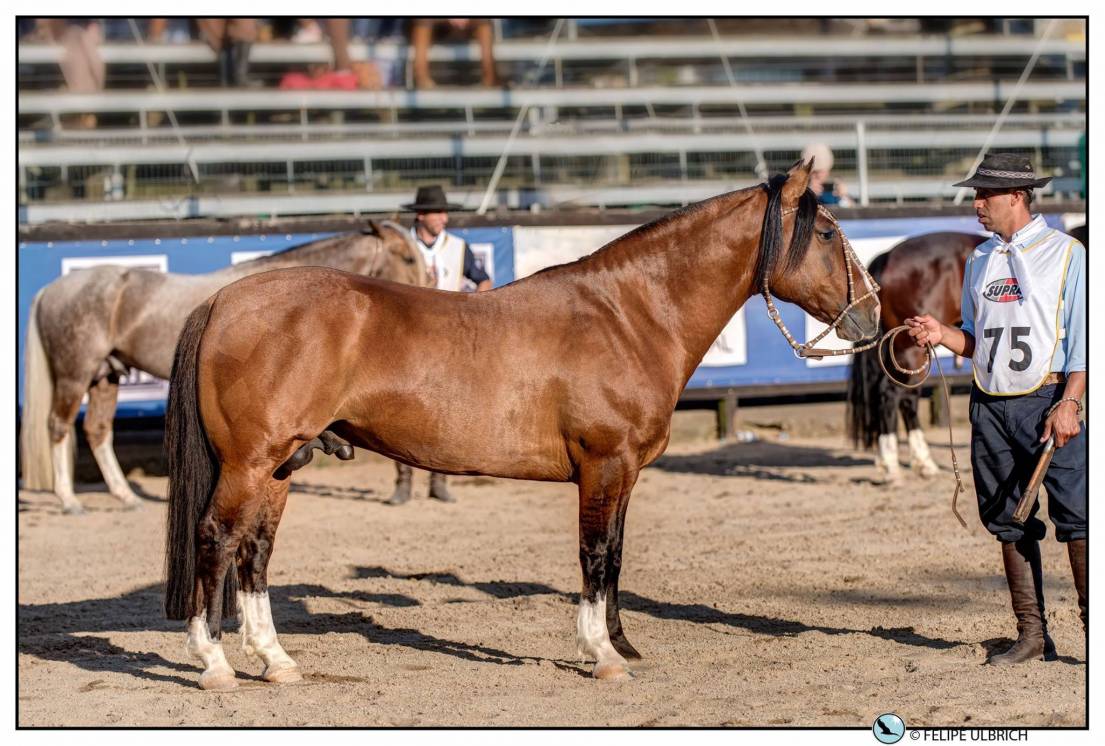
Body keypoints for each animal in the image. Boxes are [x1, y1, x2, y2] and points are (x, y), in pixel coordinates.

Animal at [20, 222, 430, 512]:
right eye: (408, 258)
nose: (428, 289)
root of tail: (52, 289)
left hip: (105, 376)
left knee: (98, 430)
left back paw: (125, 496)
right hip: (75, 375)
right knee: (58, 427)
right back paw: (69, 501)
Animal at [161, 160, 879, 689]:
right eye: (824, 234)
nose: (871, 315)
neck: (628, 316)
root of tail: (223, 300)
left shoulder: (622, 475)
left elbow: (615, 556)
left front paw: (621, 643)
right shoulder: (603, 465)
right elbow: (594, 554)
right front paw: (602, 655)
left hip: (279, 466)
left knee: (254, 552)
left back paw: (276, 662)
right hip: (251, 462)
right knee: (216, 538)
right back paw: (215, 664)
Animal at [844, 232, 985, 484]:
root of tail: (888, 257)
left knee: (906, 397)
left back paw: (922, 462)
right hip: (911, 350)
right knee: (892, 394)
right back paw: (892, 466)